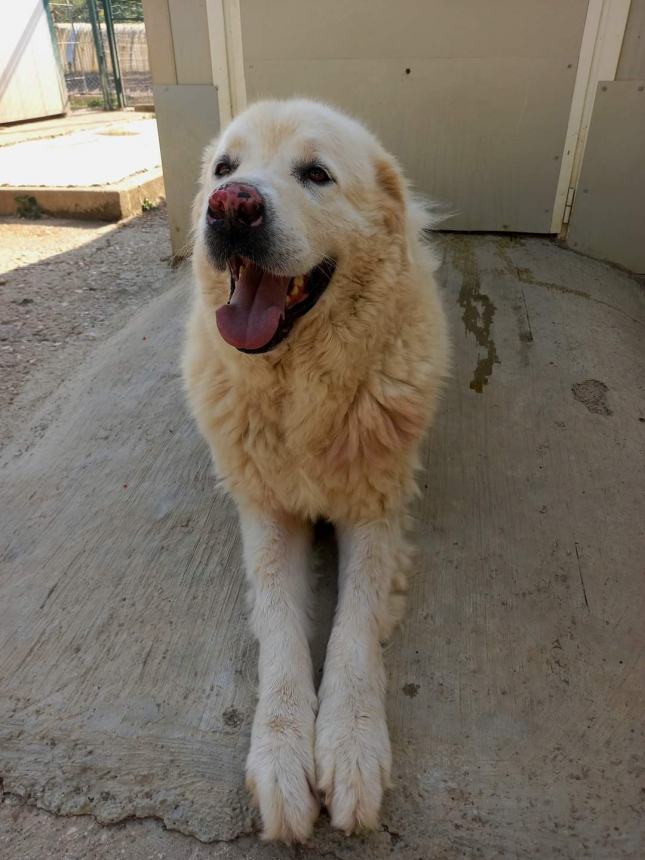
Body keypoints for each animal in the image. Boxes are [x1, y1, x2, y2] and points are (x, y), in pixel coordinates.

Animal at [184, 101, 448, 840]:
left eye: (316, 174)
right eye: (225, 168)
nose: (231, 207)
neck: (302, 393)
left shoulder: (376, 512)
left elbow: (354, 630)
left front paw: (352, 746)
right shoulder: (269, 513)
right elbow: (280, 631)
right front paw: (280, 755)